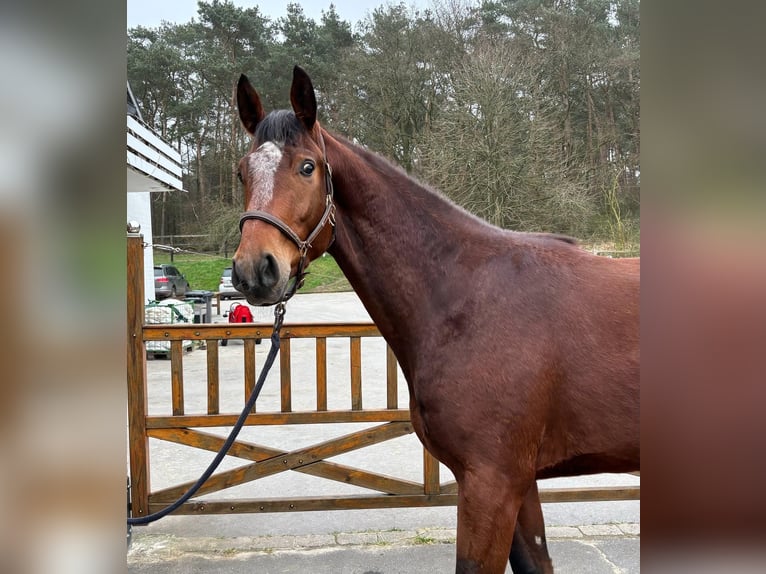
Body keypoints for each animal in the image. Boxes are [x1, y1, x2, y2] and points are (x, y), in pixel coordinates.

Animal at [231, 66, 640, 574]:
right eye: (242, 171)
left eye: (307, 167)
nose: (255, 270)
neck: (463, 296)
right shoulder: (519, 484)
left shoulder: (491, 483)